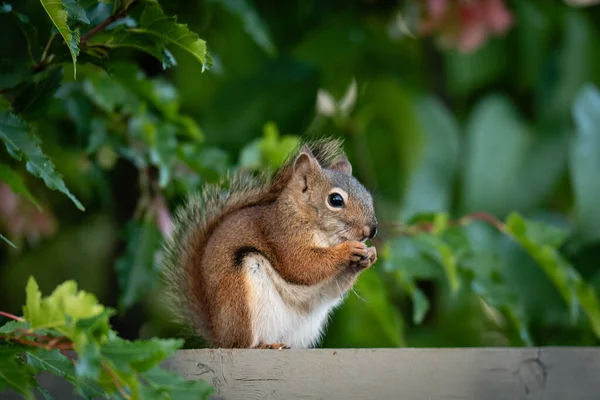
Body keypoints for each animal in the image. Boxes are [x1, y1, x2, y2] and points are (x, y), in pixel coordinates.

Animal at [162, 138, 378, 350]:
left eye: (369, 197)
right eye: (335, 200)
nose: (372, 230)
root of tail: (220, 336)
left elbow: (332, 286)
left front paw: (369, 255)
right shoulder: (282, 235)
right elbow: (301, 265)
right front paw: (348, 250)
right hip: (240, 297)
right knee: (242, 344)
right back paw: (262, 345)